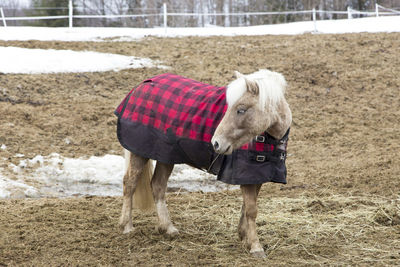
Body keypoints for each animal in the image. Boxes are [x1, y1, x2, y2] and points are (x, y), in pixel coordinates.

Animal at [115, 69, 290, 260]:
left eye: (241, 110)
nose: (216, 143)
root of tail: (141, 86)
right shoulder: (247, 176)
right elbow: (251, 210)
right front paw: (256, 247)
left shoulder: (255, 175)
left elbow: (246, 207)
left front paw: (244, 237)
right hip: (140, 153)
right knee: (130, 183)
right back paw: (127, 227)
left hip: (165, 156)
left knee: (158, 185)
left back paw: (168, 228)